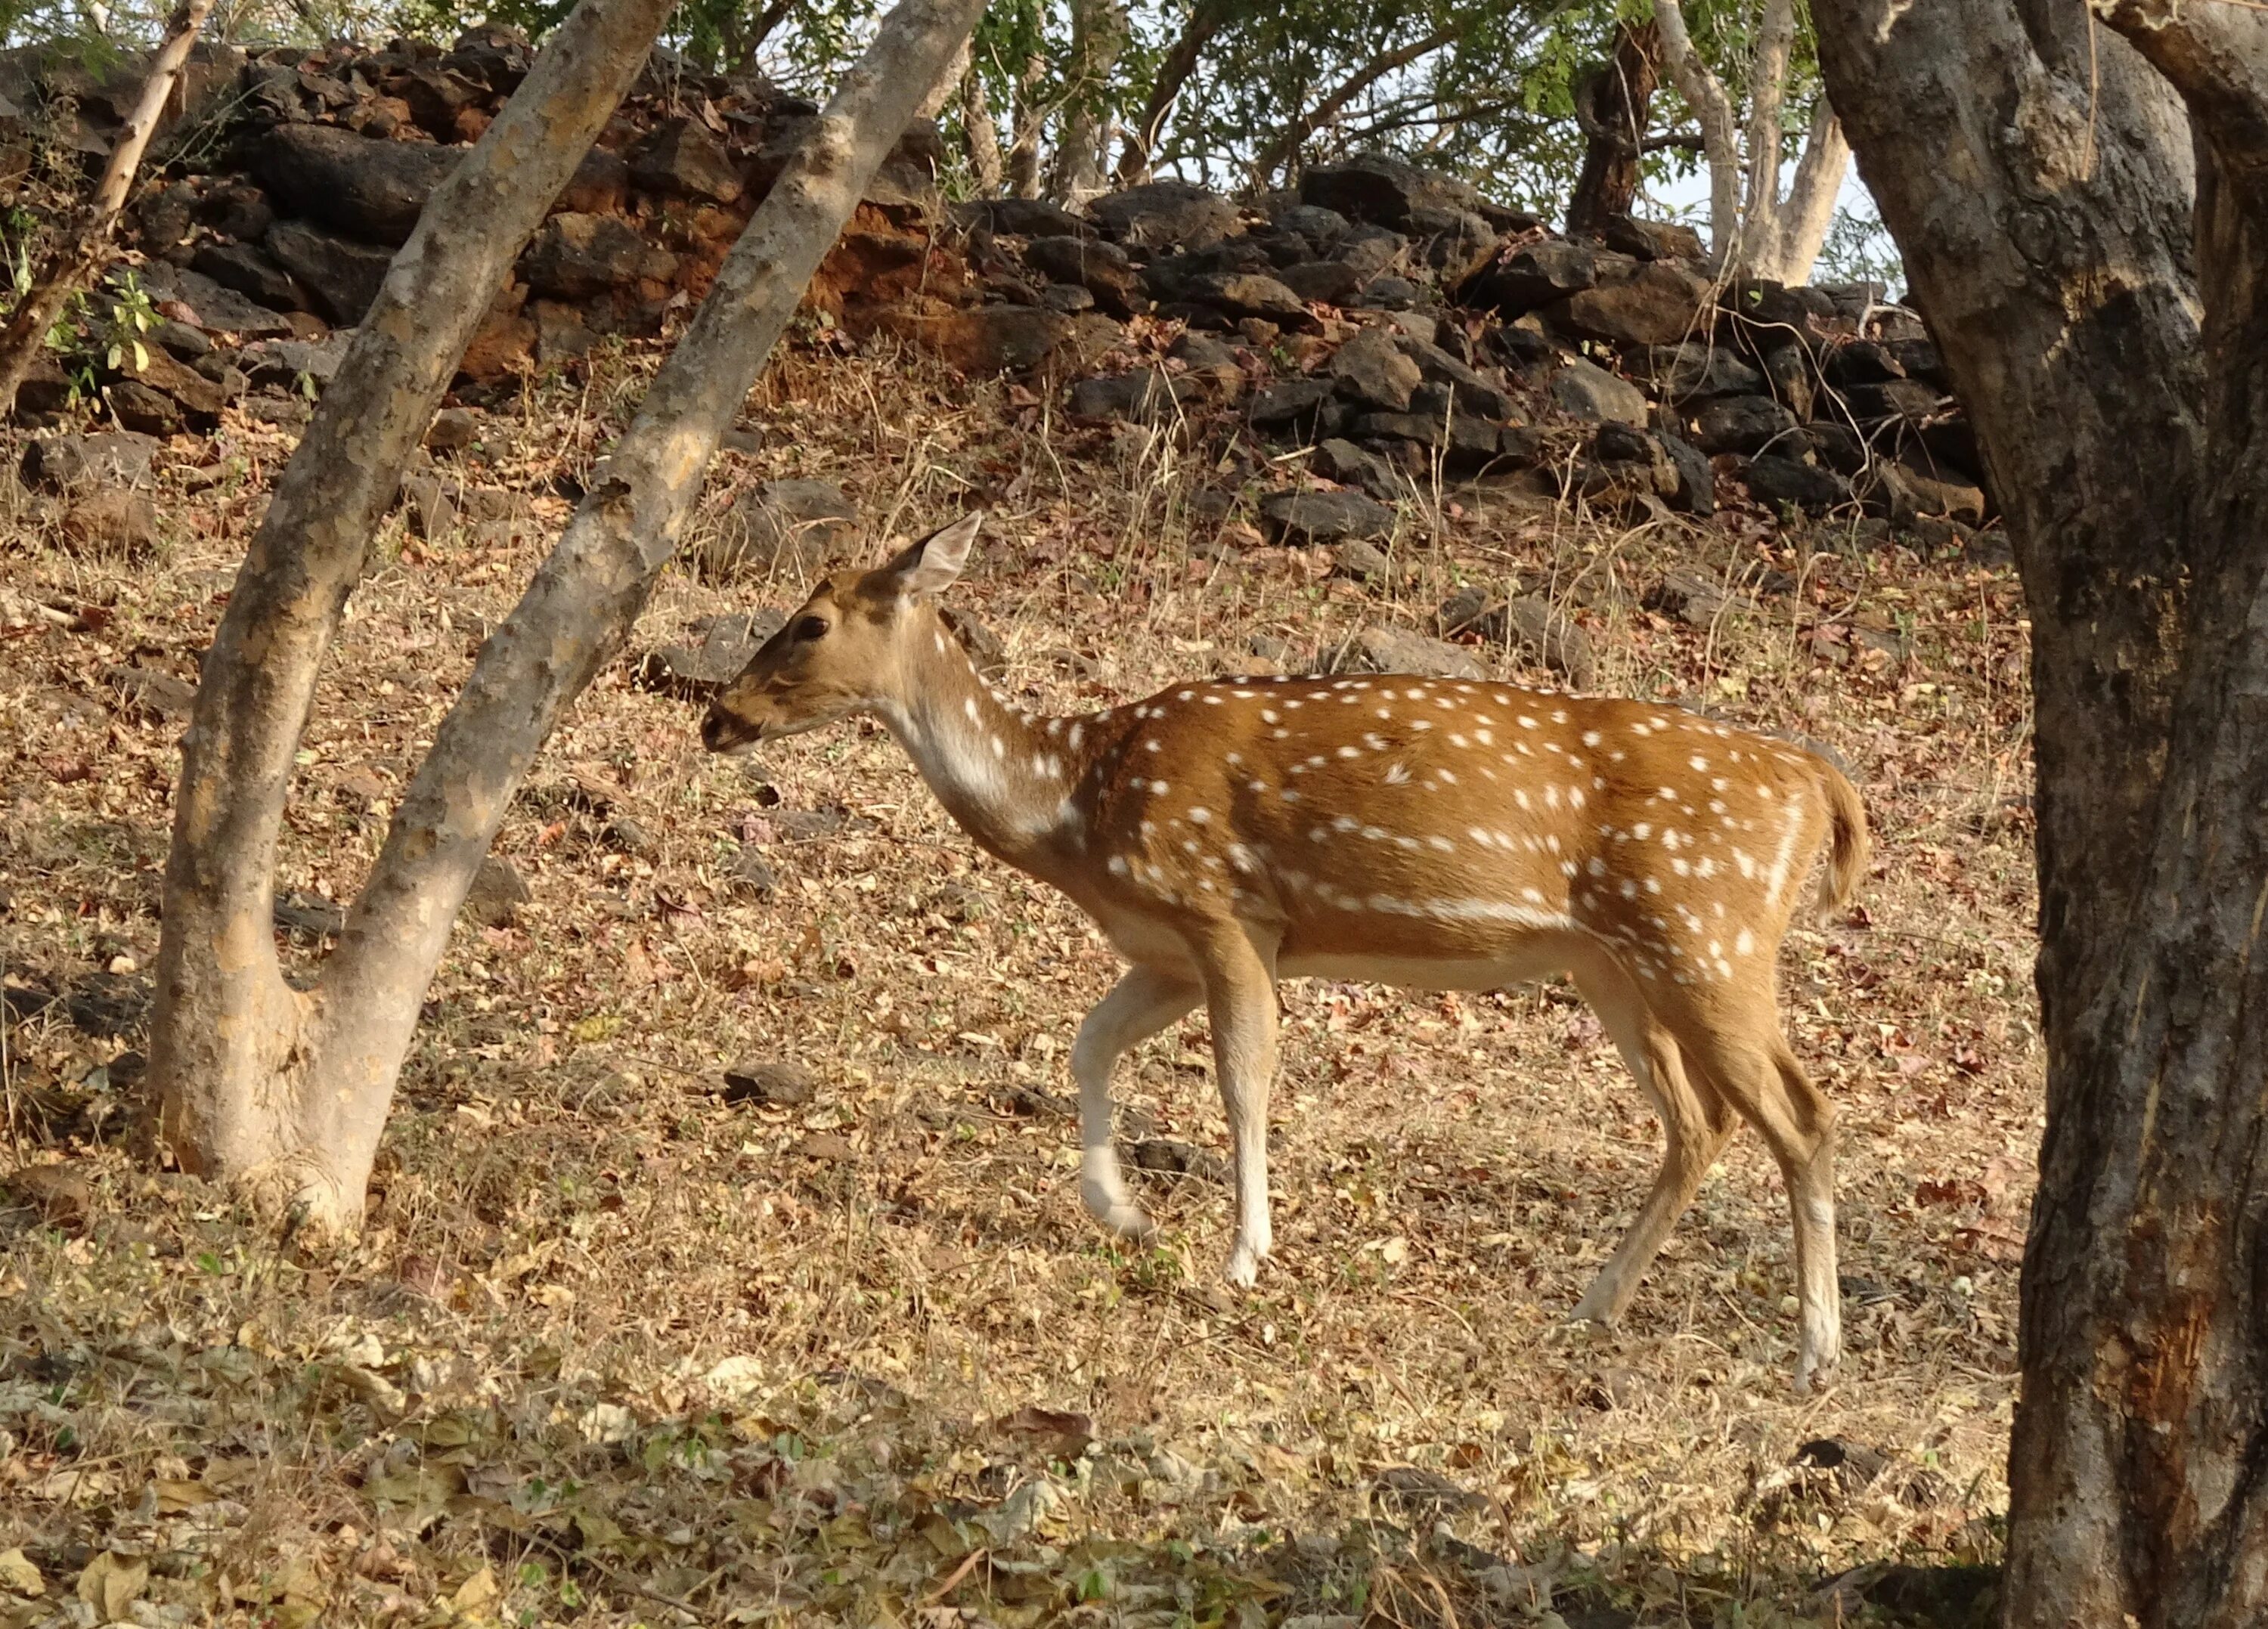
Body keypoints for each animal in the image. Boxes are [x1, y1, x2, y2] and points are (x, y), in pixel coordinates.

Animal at [699, 519, 1869, 1388]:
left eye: (808, 622)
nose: (717, 716)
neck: (1076, 807)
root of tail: (1820, 784)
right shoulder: (1165, 945)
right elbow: (1088, 1043)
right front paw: (1122, 1211)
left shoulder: (1225, 910)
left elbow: (1243, 1079)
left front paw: (1242, 1256)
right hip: (1612, 962)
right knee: (1700, 1119)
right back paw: (1595, 1305)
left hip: (1707, 934)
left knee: (1804, 1113)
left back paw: (1815, 1352)